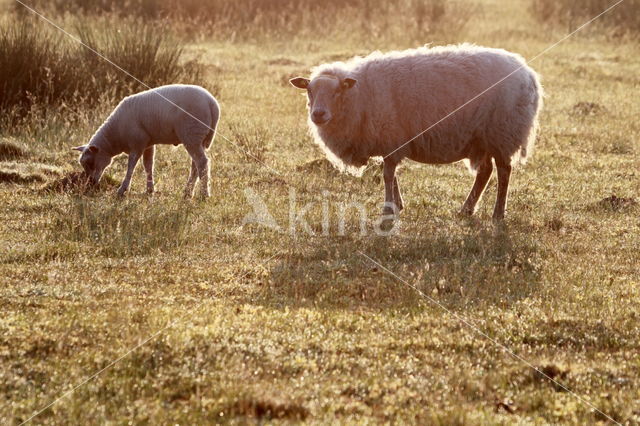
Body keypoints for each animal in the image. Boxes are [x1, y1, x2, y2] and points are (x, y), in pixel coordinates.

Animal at [73, 84, 220, 199]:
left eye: (90, 162)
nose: (91, 183)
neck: (115, 134)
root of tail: (212, 103)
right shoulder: (148, 144)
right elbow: (148, 165)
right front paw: (150, 190)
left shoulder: (137, 143)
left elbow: (131, 166)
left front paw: (122, 190)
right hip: (197, 139)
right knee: (195, 164)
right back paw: (188, 192)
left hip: (191, 134)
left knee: (202, 162)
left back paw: (204, 194)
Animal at [292, 44, 544, 220]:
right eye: (309, 91)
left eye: (336, 92)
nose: (318, 114)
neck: (359, 95)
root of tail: (529, 75)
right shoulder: (390, 141)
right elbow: (391, 175)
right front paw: (397, 205)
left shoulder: (391, 137)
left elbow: (387, 175)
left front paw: (388, 209)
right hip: (482, 137)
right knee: (485, 172)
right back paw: (466, 209)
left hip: (503, 131)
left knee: (504, 172)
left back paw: (498, 214)